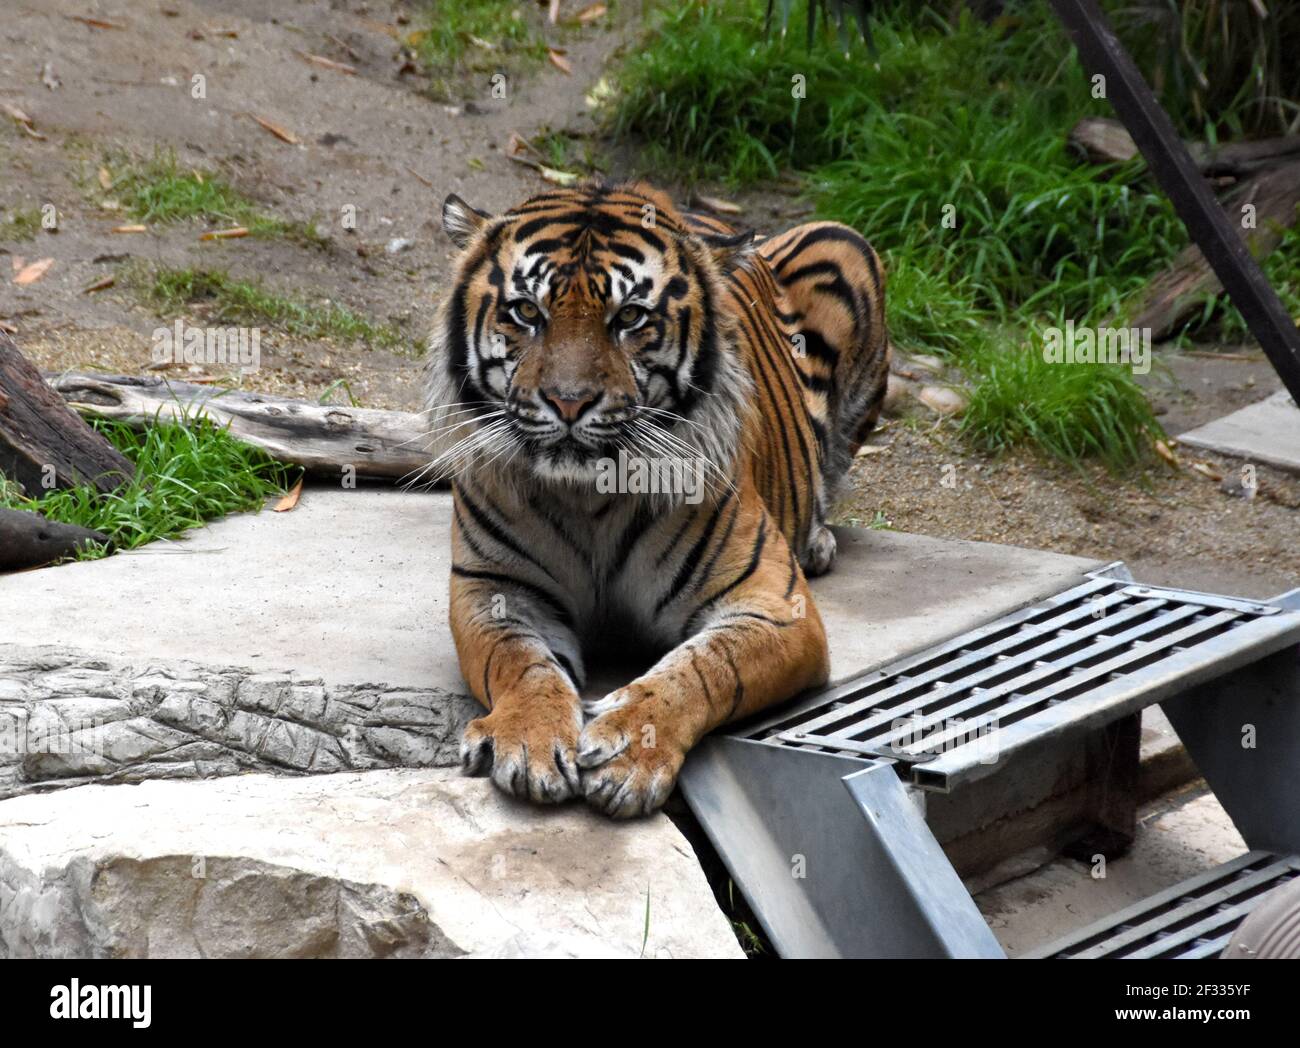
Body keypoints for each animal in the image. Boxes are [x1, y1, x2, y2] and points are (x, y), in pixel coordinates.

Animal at [426, 180, 894, 821]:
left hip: (847, 244)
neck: (588, 498)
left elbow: (705, 666)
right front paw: (530, 739)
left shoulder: (775, 605)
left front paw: (630, 749)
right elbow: (521, 663)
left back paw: (818, 541)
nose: (568, 401)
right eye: (526, 311)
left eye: (629, 317)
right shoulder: (493, 588)